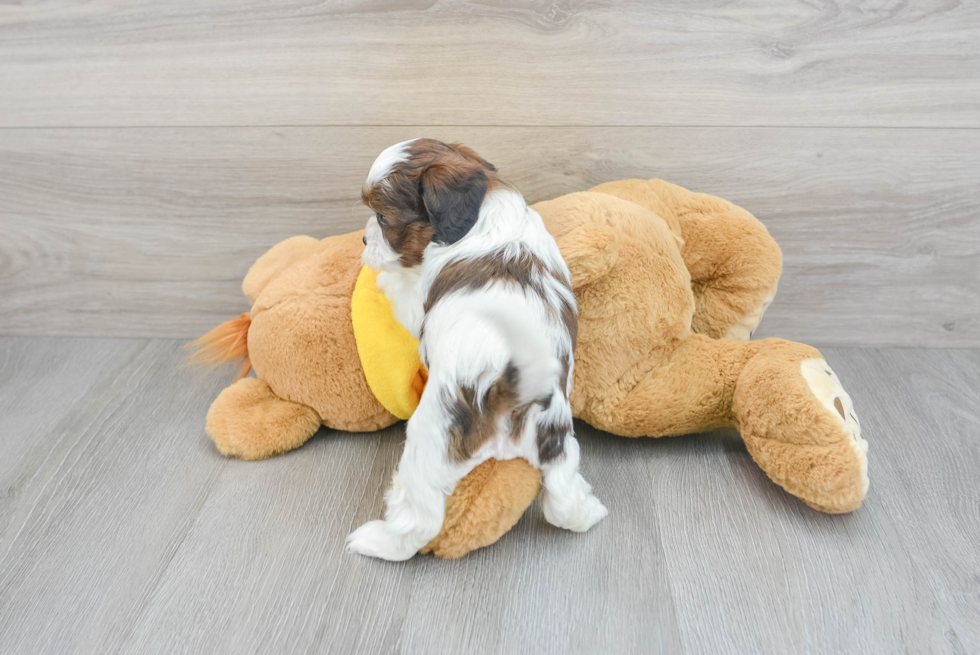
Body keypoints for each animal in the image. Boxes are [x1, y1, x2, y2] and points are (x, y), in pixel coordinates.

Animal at [344, 141, 604, 560]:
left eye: (382, 218)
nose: (365, 242)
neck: (485, 209)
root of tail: (513, 392)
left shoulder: (418, 304)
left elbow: (401, 289)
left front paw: (380, 276)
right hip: (558, 441)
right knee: (563, 497)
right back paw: (588, 511)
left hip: (429, 441)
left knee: (419, 521)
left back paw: (379, 540)